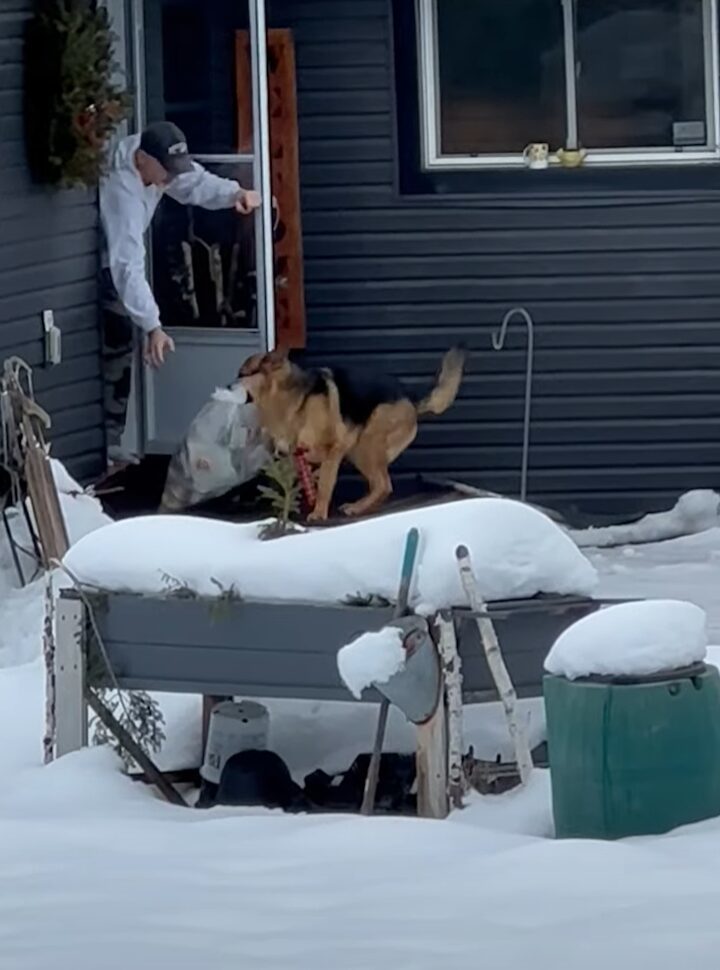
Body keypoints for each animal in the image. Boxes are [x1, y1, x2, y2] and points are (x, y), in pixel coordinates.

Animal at [240, 344, 466, 520]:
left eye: (241, 374)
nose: (230, 383)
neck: (290, 397)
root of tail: (409, 397)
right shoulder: (294, 456)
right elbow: (294, 484)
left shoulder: (334, 448)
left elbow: (325, 484)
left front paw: (318, 513)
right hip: (358, 452)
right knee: (381, 486)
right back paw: (361, 507)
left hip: (365, 446)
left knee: (384, 485)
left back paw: (357, 507)